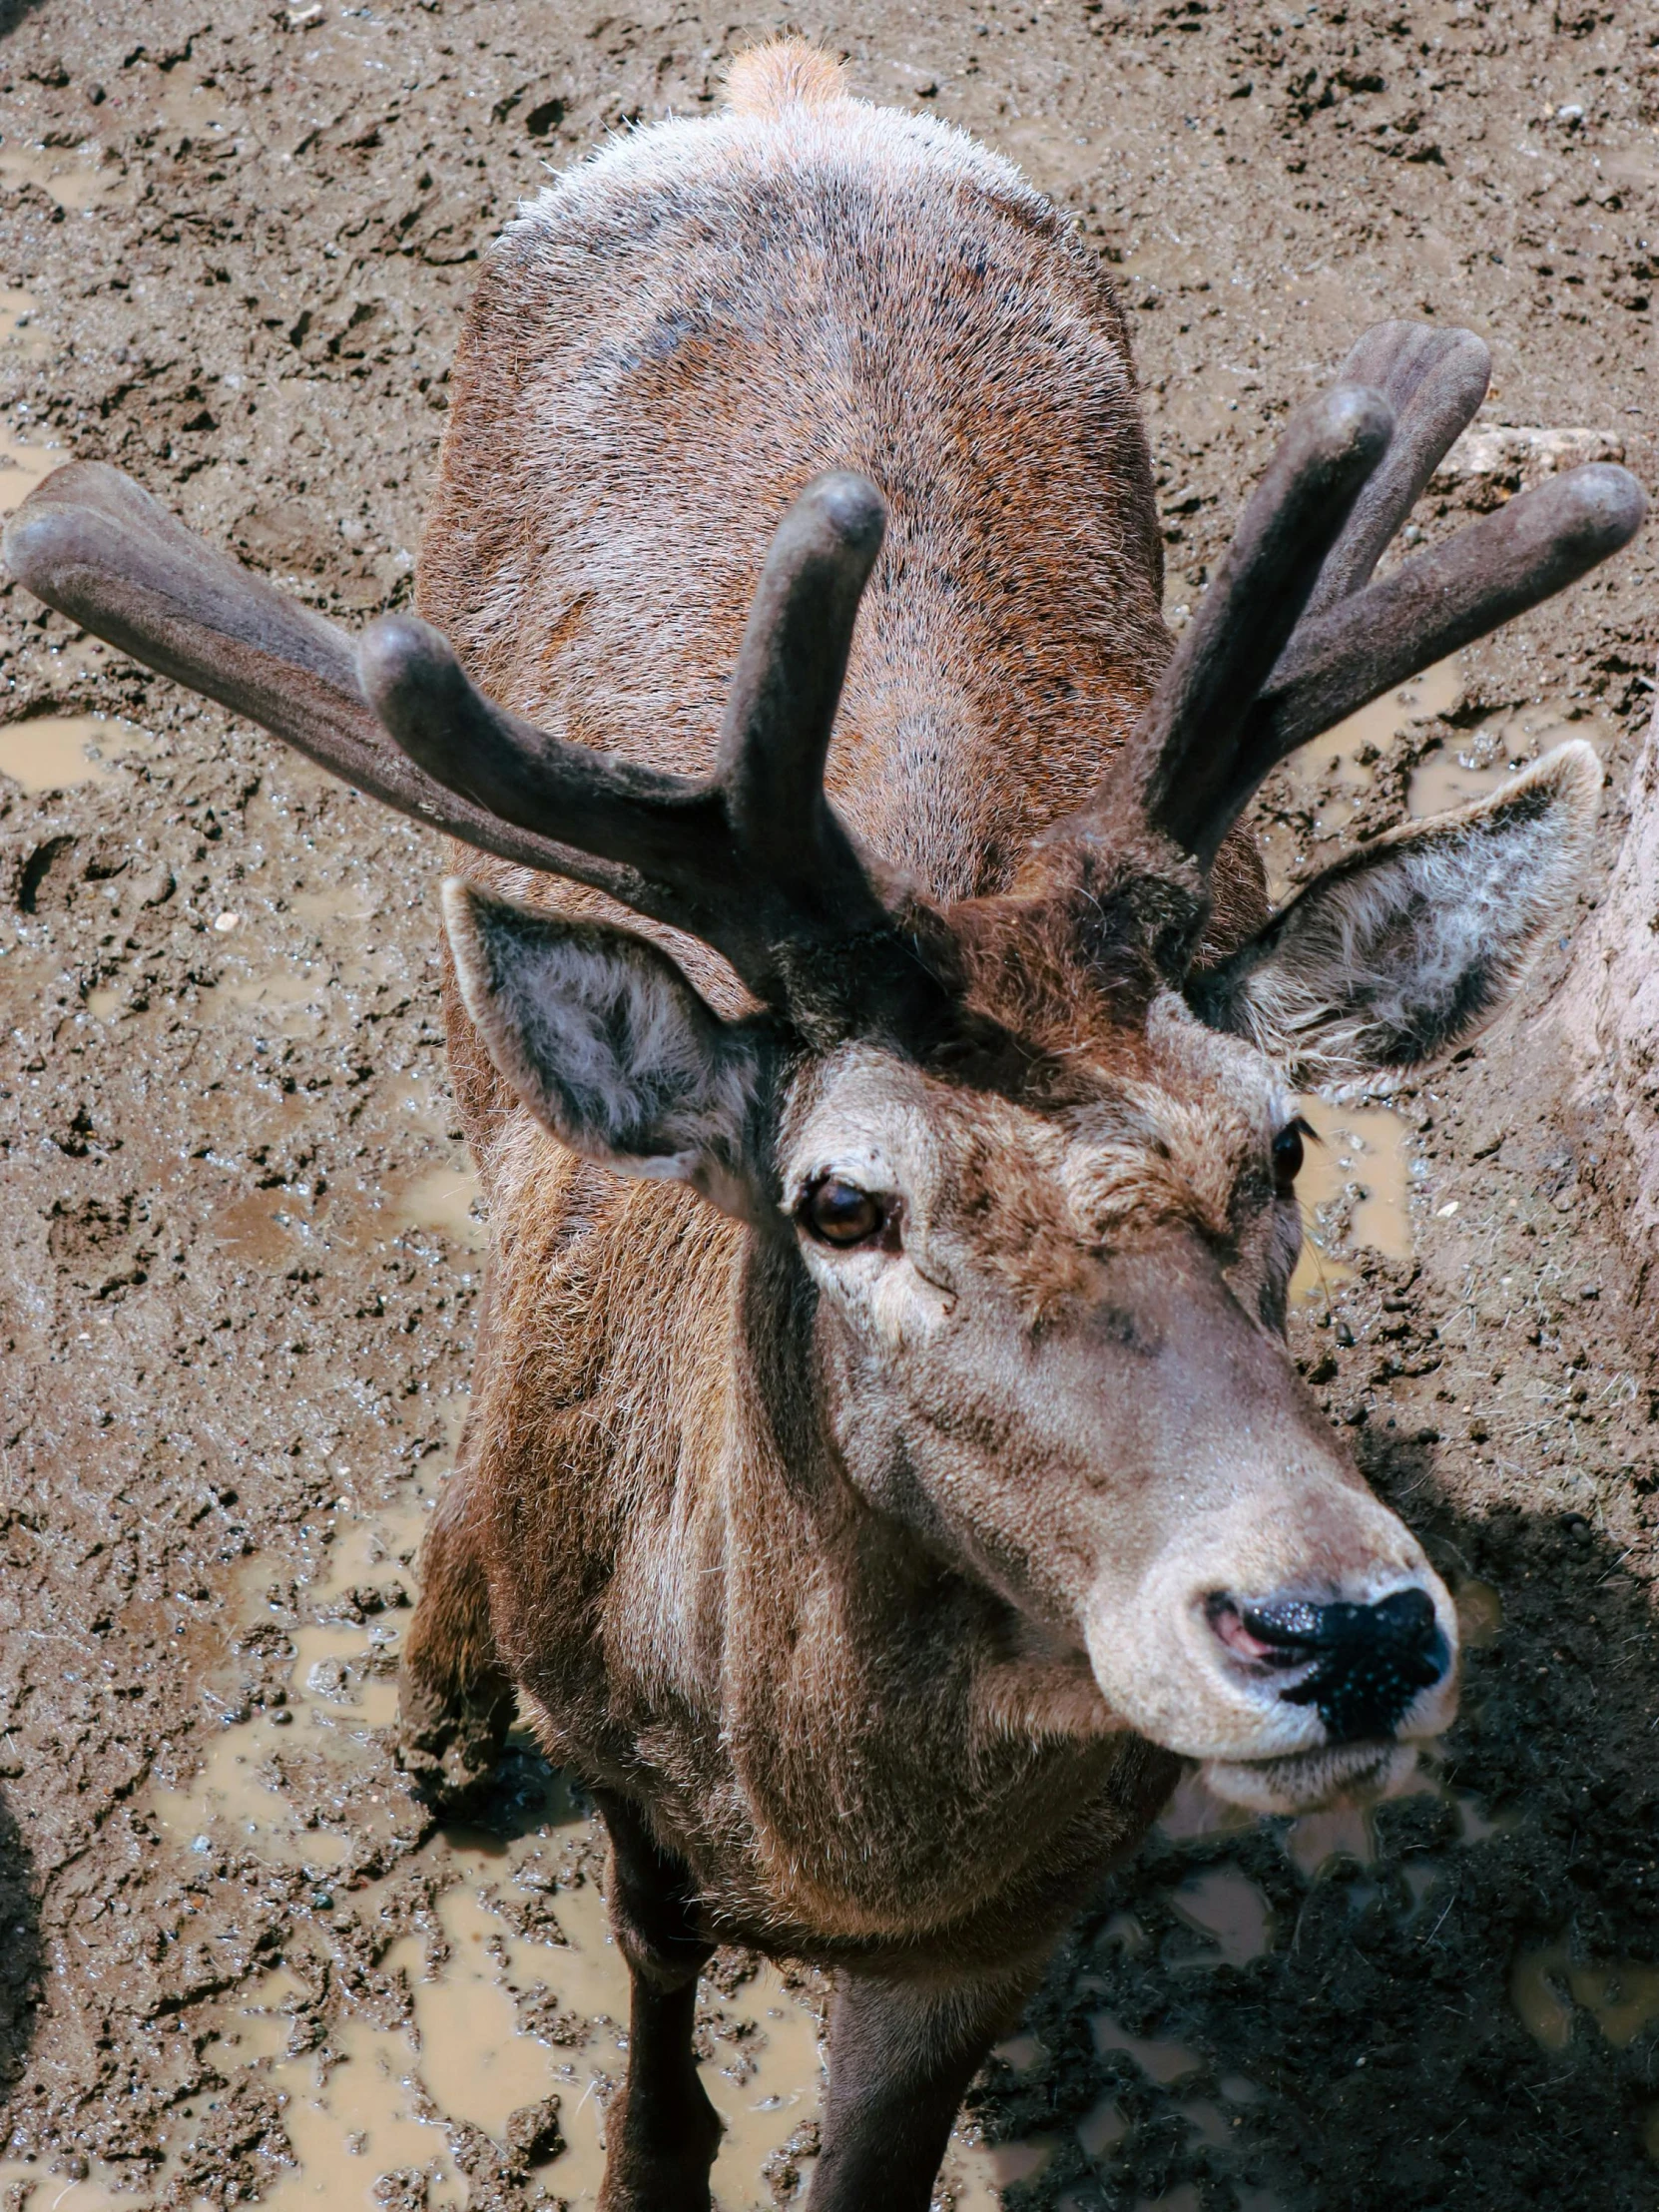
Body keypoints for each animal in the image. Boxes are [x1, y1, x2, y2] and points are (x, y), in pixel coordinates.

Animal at [6, 34, 1654, 2212]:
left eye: (1287, 1144)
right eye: (842, 1202)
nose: (1341, 1625)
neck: (841, 1859)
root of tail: (787, 88)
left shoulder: (1013, 1917)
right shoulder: (638, 1800)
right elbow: (656, 2056)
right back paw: (436, 1694)